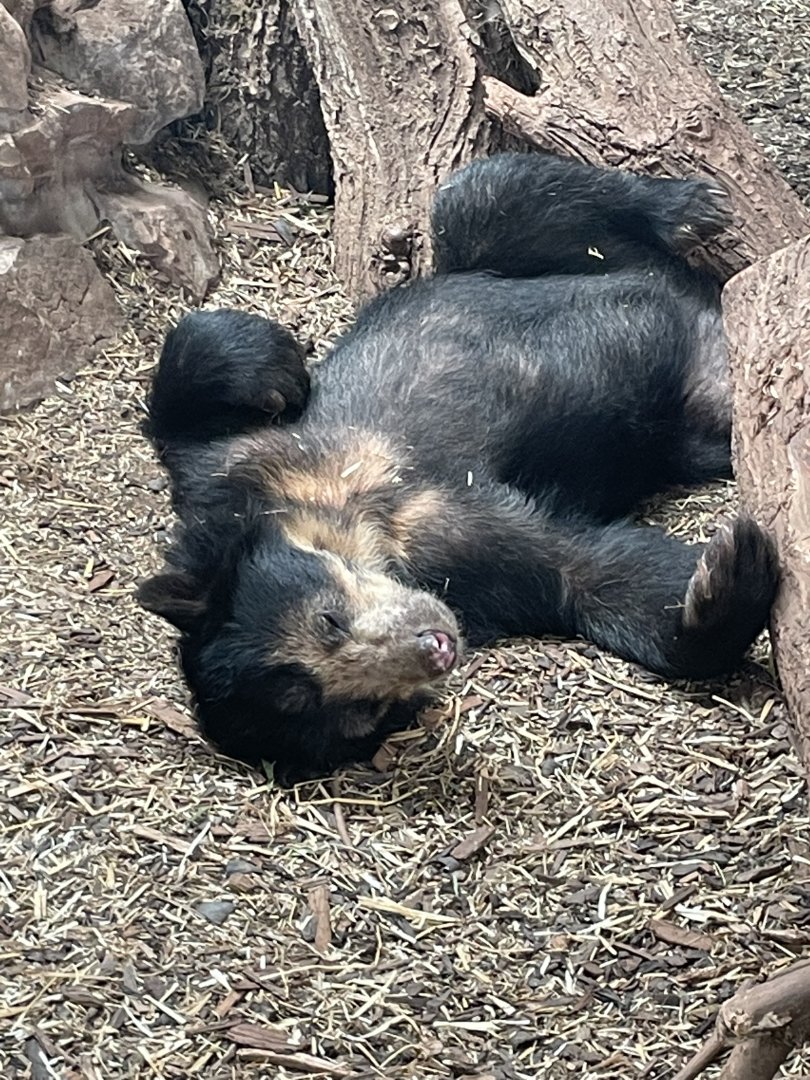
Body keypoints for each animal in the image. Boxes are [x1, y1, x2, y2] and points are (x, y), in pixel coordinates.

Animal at [137, 151, 779, 786]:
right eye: (363, 712)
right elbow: (587, 574)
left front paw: (277, 366)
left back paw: (688, 206)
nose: (436, 647)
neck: (348, 516)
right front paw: (724, 578)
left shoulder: (239, 463)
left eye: (328, 620)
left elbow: (189, 393)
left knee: (486, 197)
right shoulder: (466, 560)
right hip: (702, 425)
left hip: (519, 263)